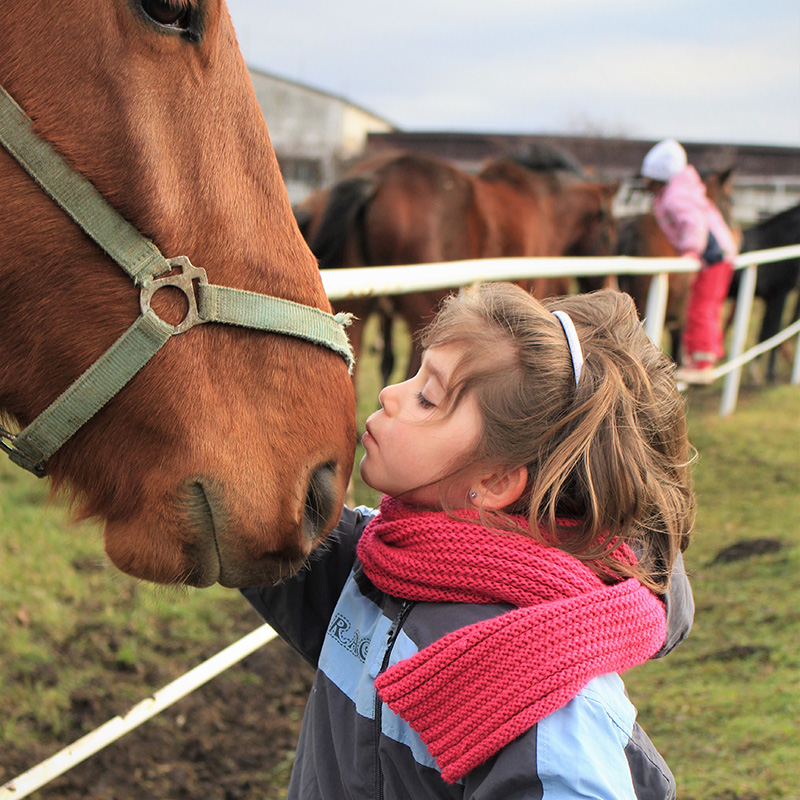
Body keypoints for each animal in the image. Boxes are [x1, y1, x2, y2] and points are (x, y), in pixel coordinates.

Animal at [300, 147, 620, 388]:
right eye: (609, 233)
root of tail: (377, 177)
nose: (608, 286)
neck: (545, 206)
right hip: (423, 313)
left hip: (362, 310)